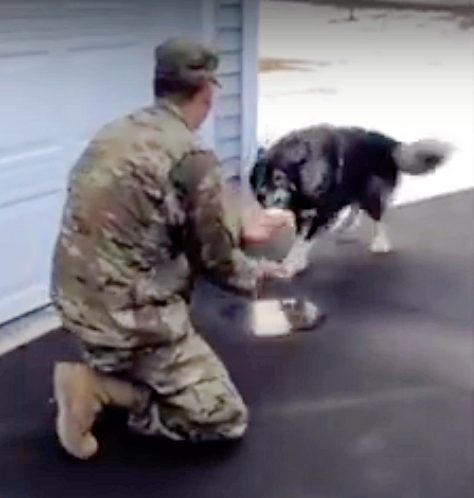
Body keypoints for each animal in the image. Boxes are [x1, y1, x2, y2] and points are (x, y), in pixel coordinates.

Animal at [249, 124, 454, 275]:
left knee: (378, 218)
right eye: (260, 176)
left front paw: (291, 265)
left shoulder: (322, 213)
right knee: (356, 206)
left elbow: (303, 241)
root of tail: (391, 144)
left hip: (370, 193)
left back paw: (380, 243)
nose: (260, 196)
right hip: (355, 189)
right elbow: (299, 240)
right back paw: (346, 226)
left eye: (278, 178)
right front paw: (295, 261)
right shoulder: (303, 214)